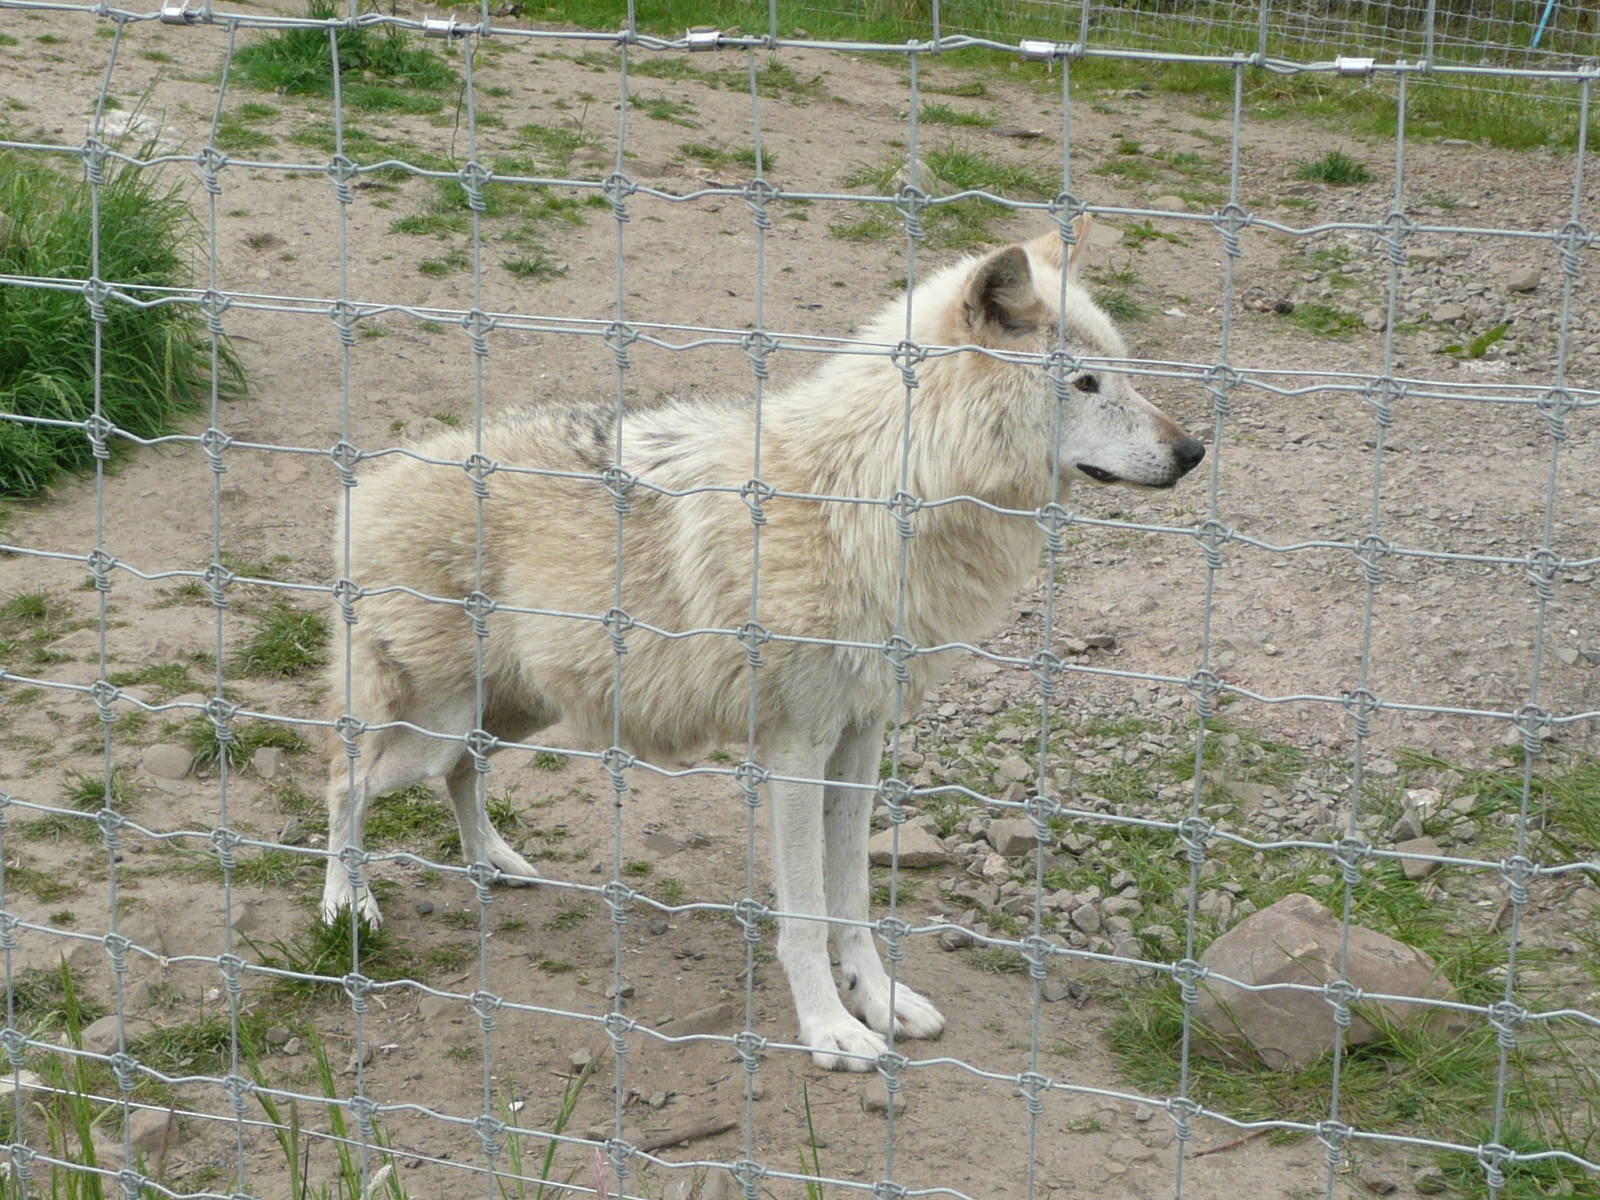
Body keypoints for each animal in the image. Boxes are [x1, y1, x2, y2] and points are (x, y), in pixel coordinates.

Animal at [319, 219, 1204, 1069]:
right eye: (1085, 384)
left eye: (1124, 373)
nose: (1193, 452)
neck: (877, 497)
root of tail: (370, 482)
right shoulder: (796, 749)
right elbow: (807, 914)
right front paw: (830, 1031)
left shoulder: (861, 739)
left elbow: (852, 899)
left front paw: (882, 1001)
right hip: (432, 726)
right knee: (344, 780)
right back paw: (346, 907)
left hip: (511, 713)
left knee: (461, 774)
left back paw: (494, 863)